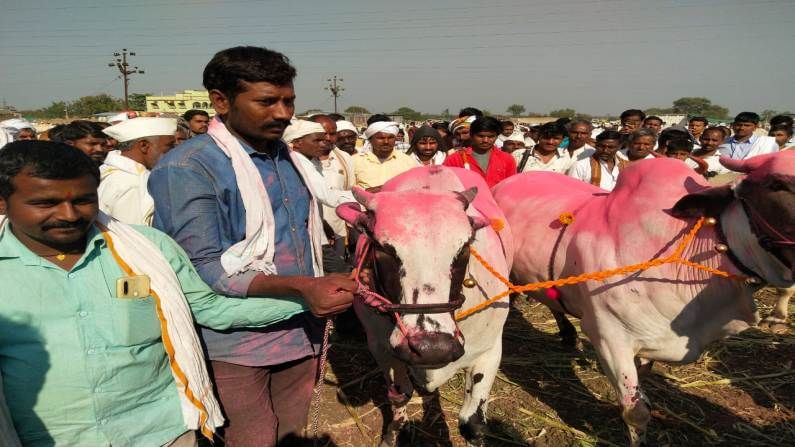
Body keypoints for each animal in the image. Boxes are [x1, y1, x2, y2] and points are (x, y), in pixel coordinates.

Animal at [338, 166, 512, 446]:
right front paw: (395, 432)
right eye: (384, 249)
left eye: (465, 247)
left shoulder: (490, 350)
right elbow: (400, 394)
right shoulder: (381, 348)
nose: (433, 348)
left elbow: (473, 424)